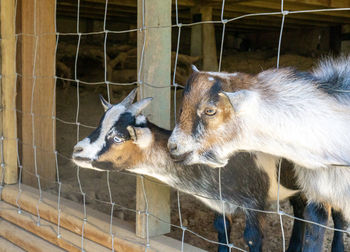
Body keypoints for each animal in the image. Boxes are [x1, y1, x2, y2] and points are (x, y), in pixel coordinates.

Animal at [168, 56, 348, 250]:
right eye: (181, 108)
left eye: (210, 111)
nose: (173, 146)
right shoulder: (219, 195)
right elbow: (221, 225)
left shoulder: (256, 198)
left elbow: (252, 236)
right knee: (300, 209)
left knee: (336, 217)